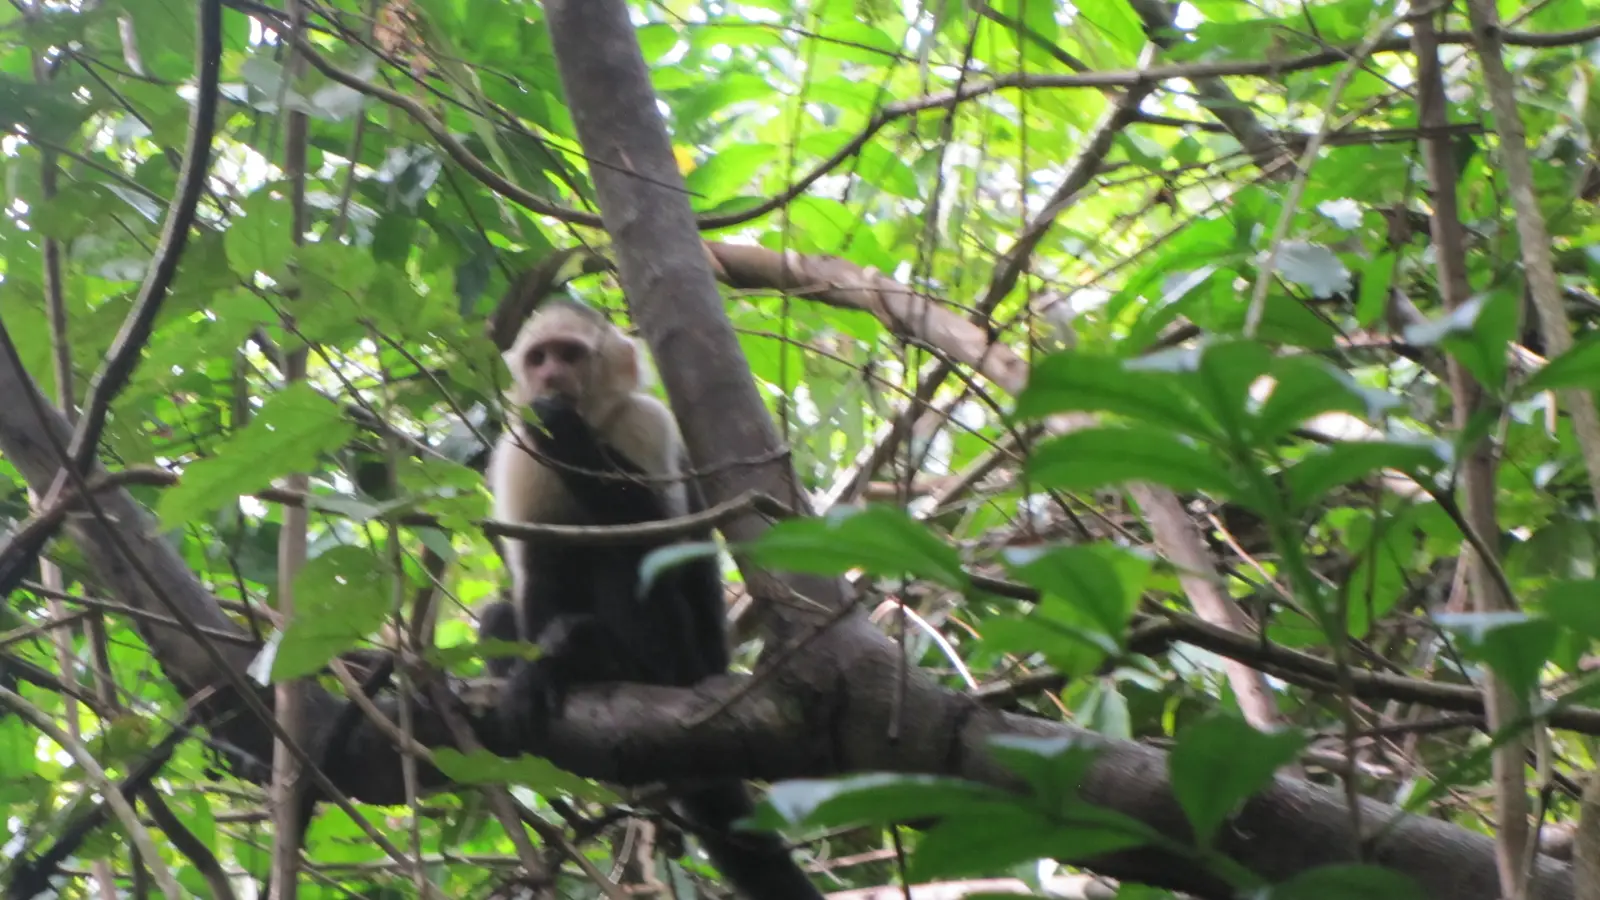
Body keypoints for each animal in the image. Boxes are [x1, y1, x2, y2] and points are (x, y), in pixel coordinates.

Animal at [480, 298, 823, 900]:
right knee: (511, 605)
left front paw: (565, 431)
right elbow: (537, 566)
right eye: (539, 357)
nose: (550, 378)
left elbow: (658, 541)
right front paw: (537, 672)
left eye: (570, 355)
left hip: (687, 664)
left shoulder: (645, 422)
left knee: (626, 562)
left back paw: (610, 659)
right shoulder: (517, 452)